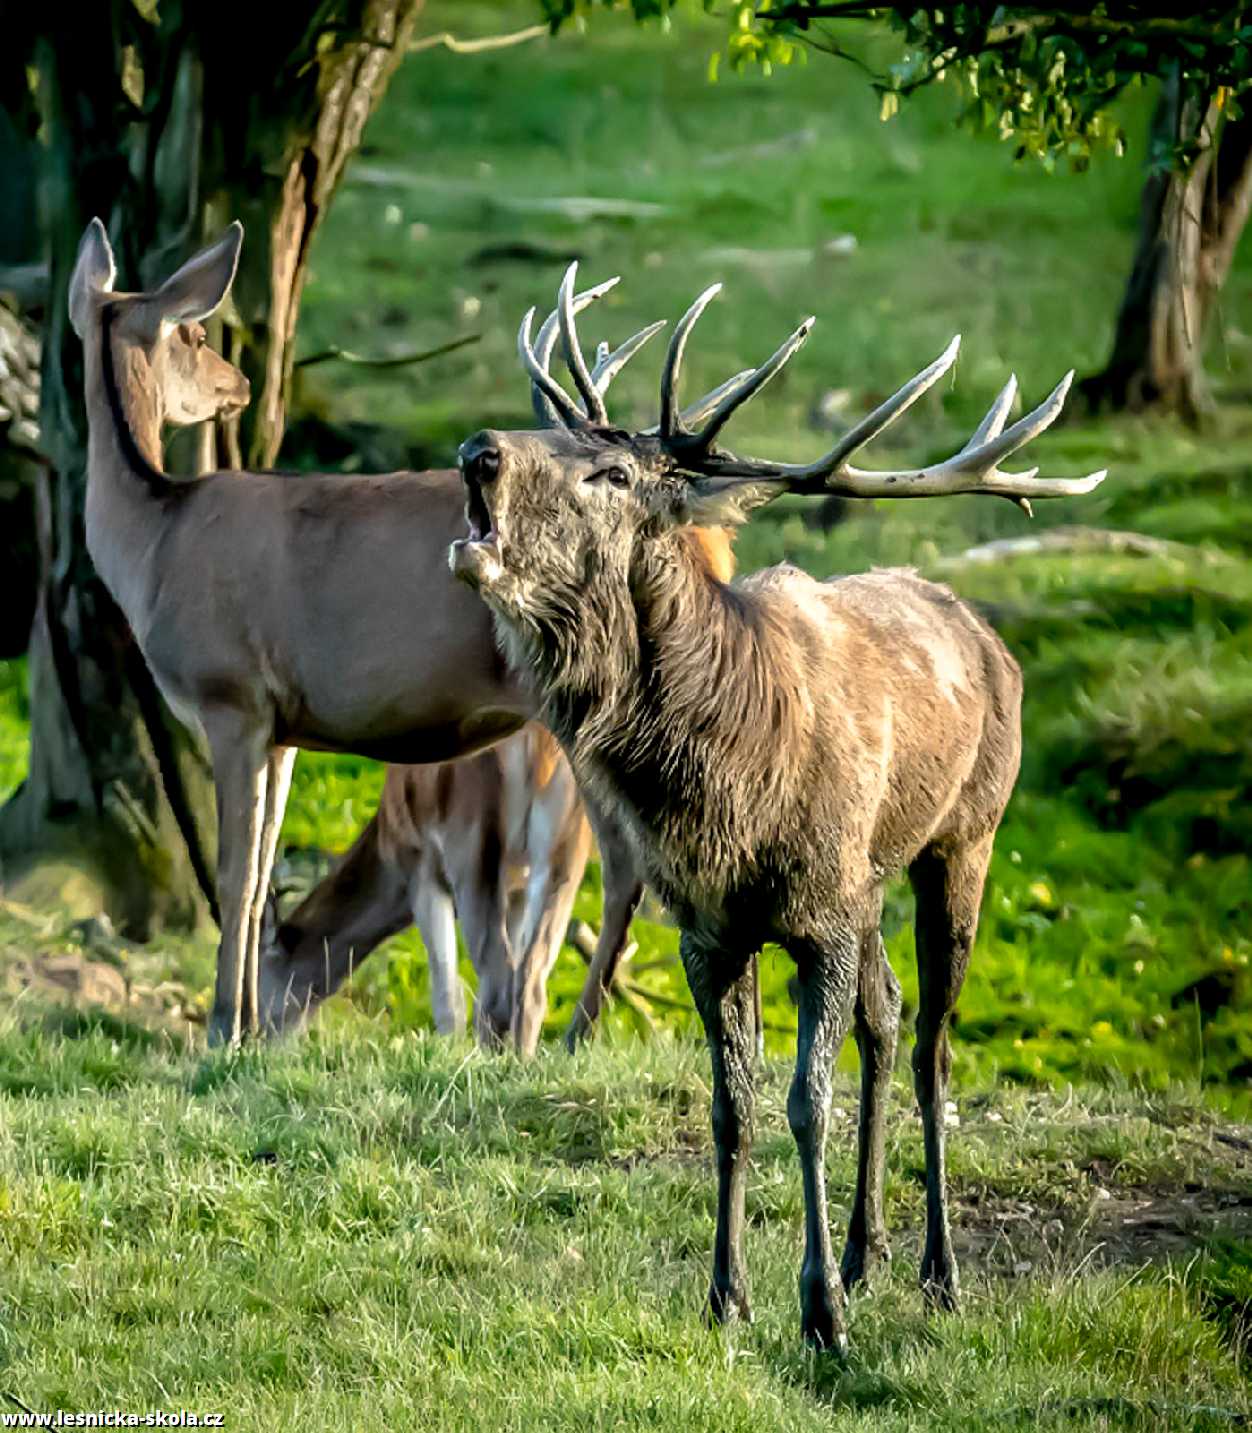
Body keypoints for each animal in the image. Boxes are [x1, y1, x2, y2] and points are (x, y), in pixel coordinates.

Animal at [449, 263, 1100, 1347]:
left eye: (610, 473)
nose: (477, 450)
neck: (724, 792)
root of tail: (989, 636)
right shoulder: (712, 926)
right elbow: (731, 1104)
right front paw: (728, 1294)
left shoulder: (819, 916)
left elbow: (805, 1101)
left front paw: (819, 1311)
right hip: (870, 878)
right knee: (886, 1016)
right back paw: (867, 1250)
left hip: (964, 838)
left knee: (932, 1042)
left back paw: (936, 1270)